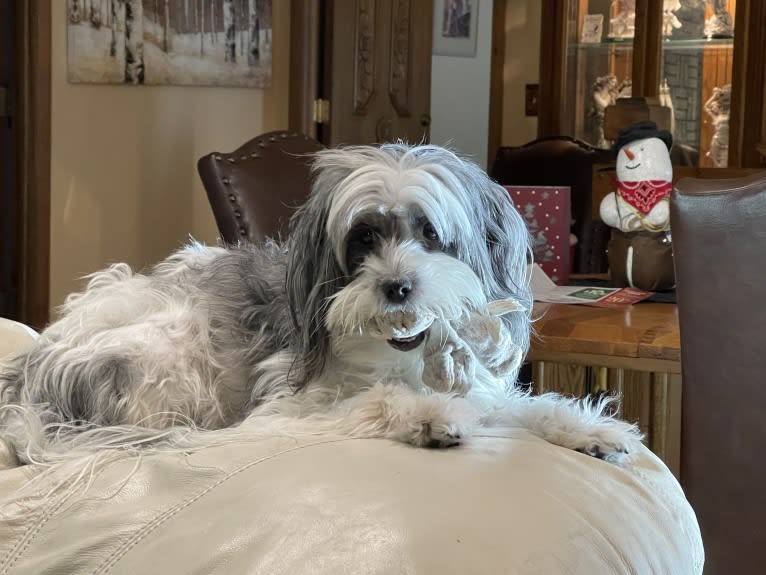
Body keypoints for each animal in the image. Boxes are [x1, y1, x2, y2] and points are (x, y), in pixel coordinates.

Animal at [0, 143, 640, 464]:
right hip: (172, 354)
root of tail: (26, 389)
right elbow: (379, 399)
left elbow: (515, 407)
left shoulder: (475, 383)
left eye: (431, 233)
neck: (403, 355)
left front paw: (584, 427)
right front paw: (428, 415)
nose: (397, 286)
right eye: (363, 237)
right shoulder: (289, 405)